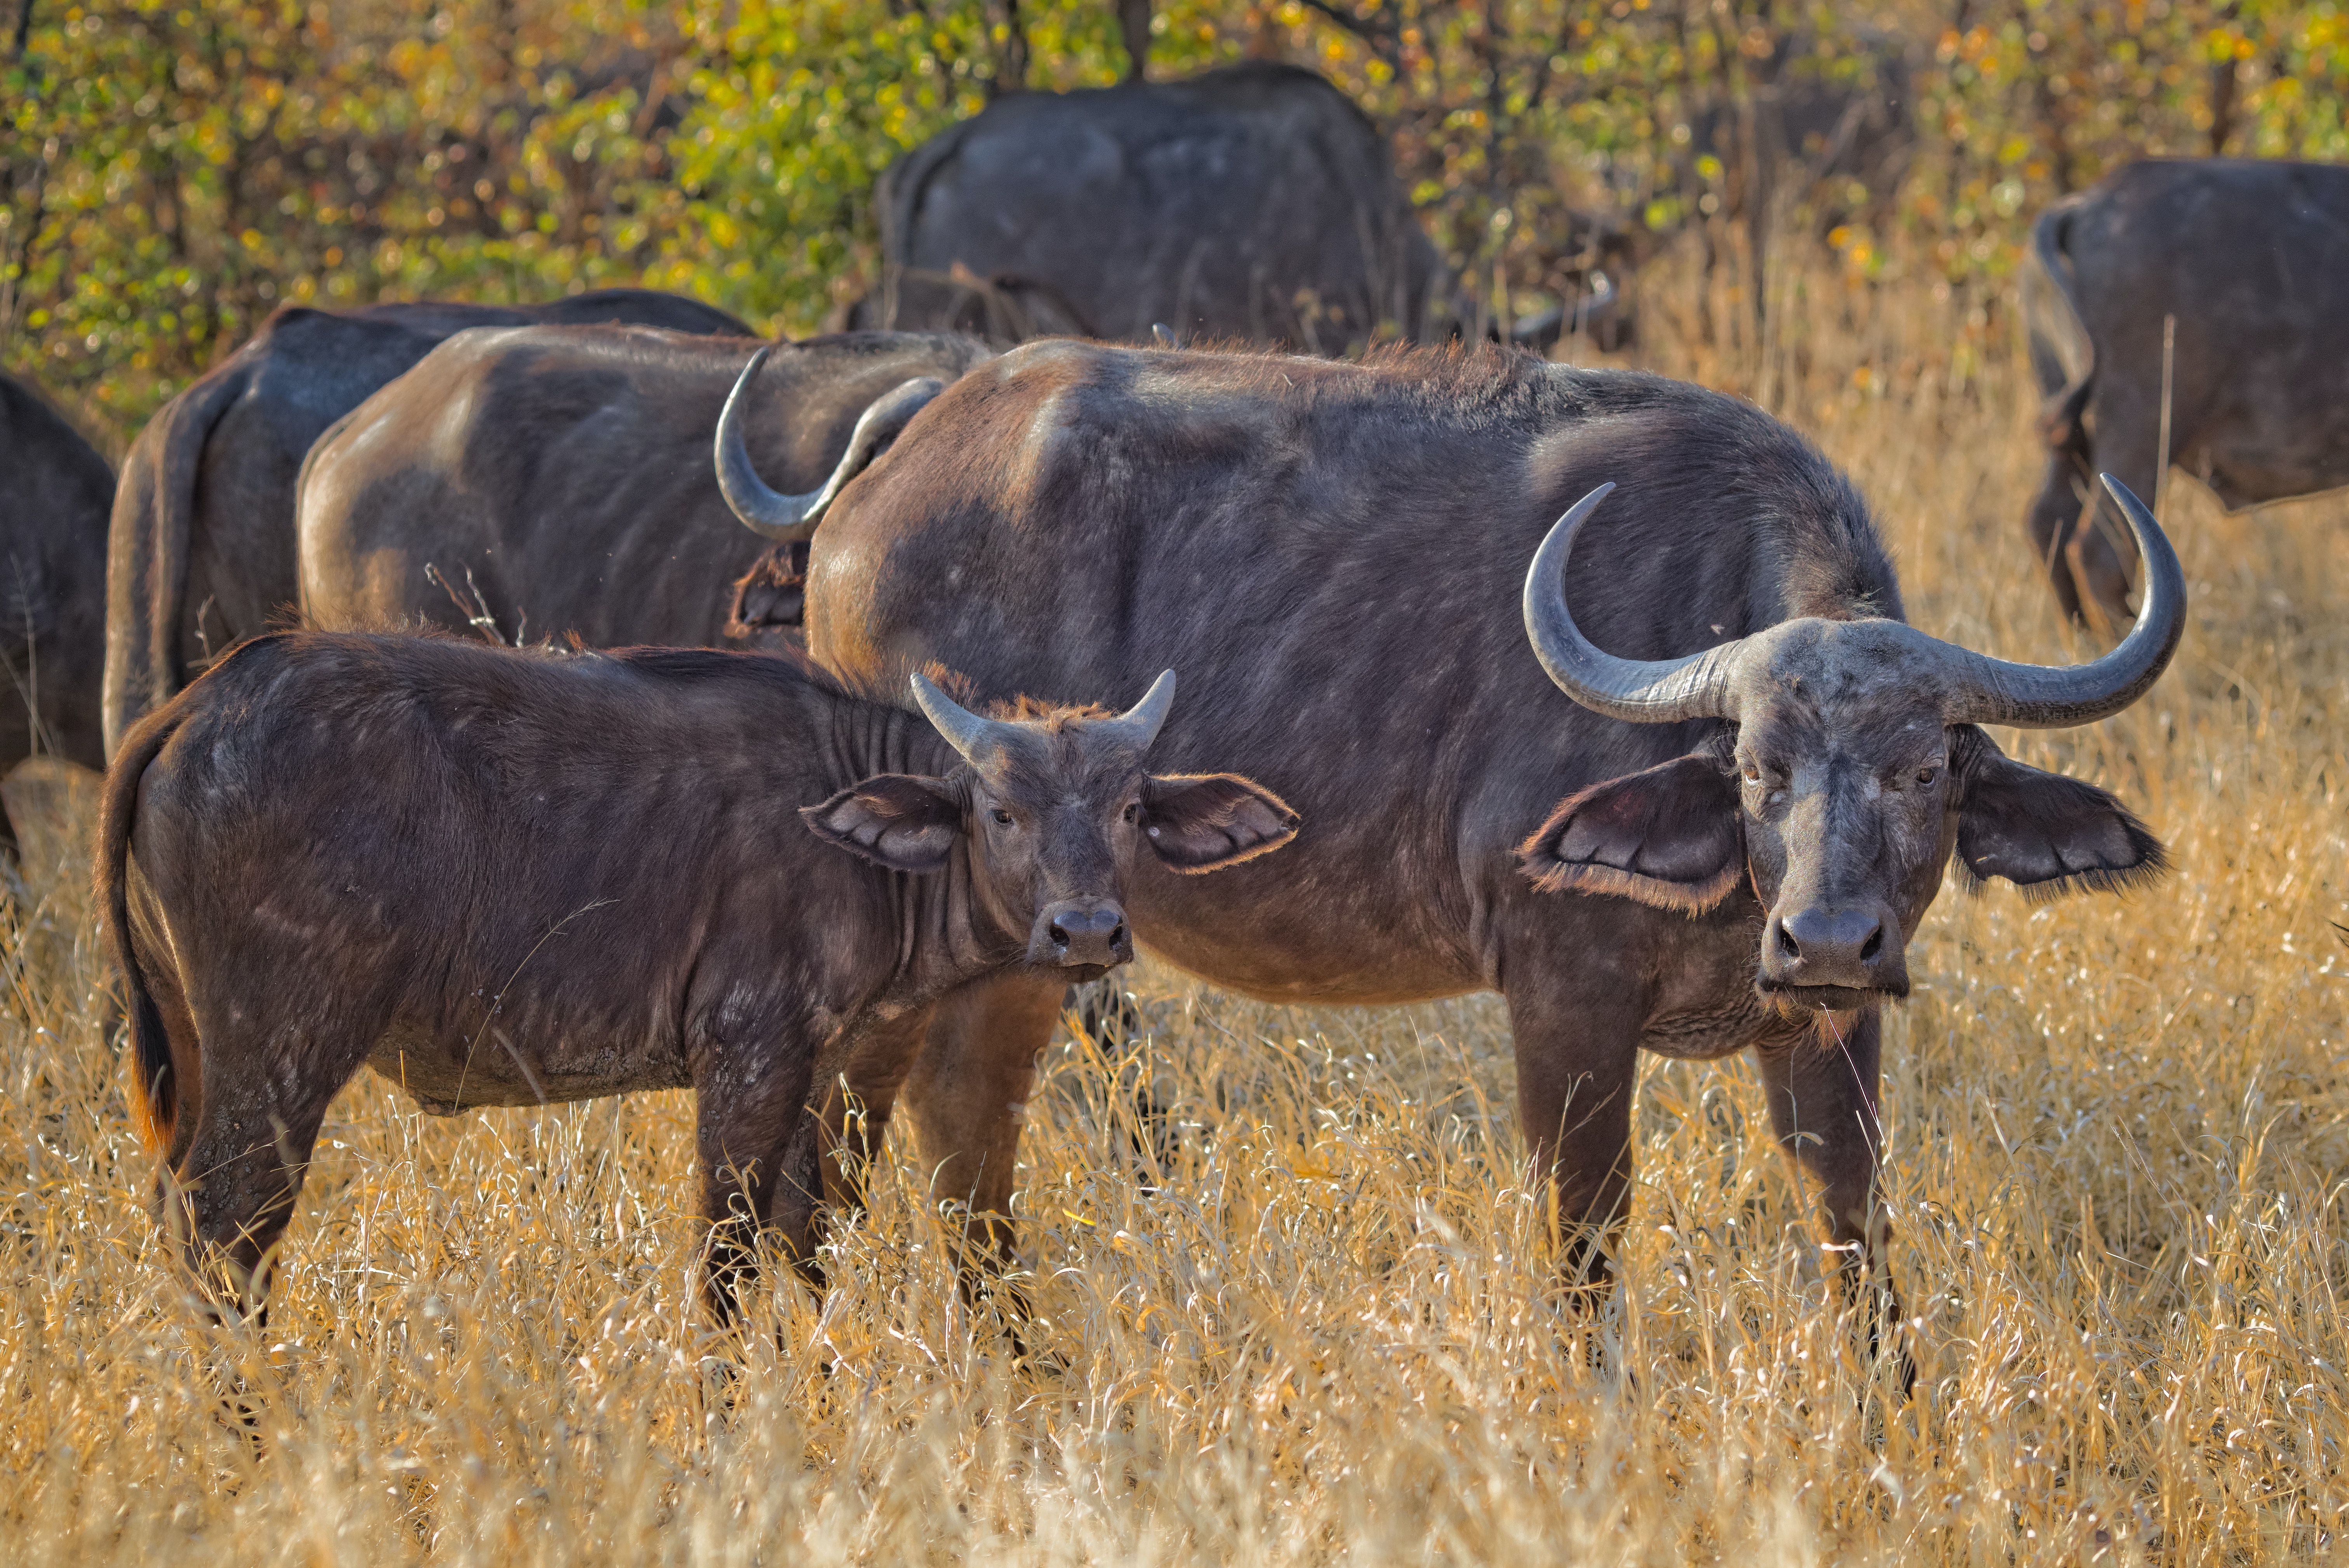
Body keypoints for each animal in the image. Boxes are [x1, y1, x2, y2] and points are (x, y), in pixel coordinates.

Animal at [101, 630, 1296, 1316]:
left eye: (1131, 810)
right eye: (1001, 810)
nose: (1084, 931)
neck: (850, 829)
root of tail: (196, 704)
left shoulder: (828, 1076)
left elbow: (806, 1251)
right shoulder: (747, 1059)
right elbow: (725, 1263)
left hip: (198, 1054)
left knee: (179, 1222)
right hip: (285, 1054)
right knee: (227, 1238)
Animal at [714, 341, 2180, 1373]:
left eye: (1924, 767)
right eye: (1756, 765)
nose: (1824, 936)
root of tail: (902, 447)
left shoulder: (1823, 1026)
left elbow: (1854, 1220)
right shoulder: (1563, 994)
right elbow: (1585, 1235)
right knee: (895, 1128)